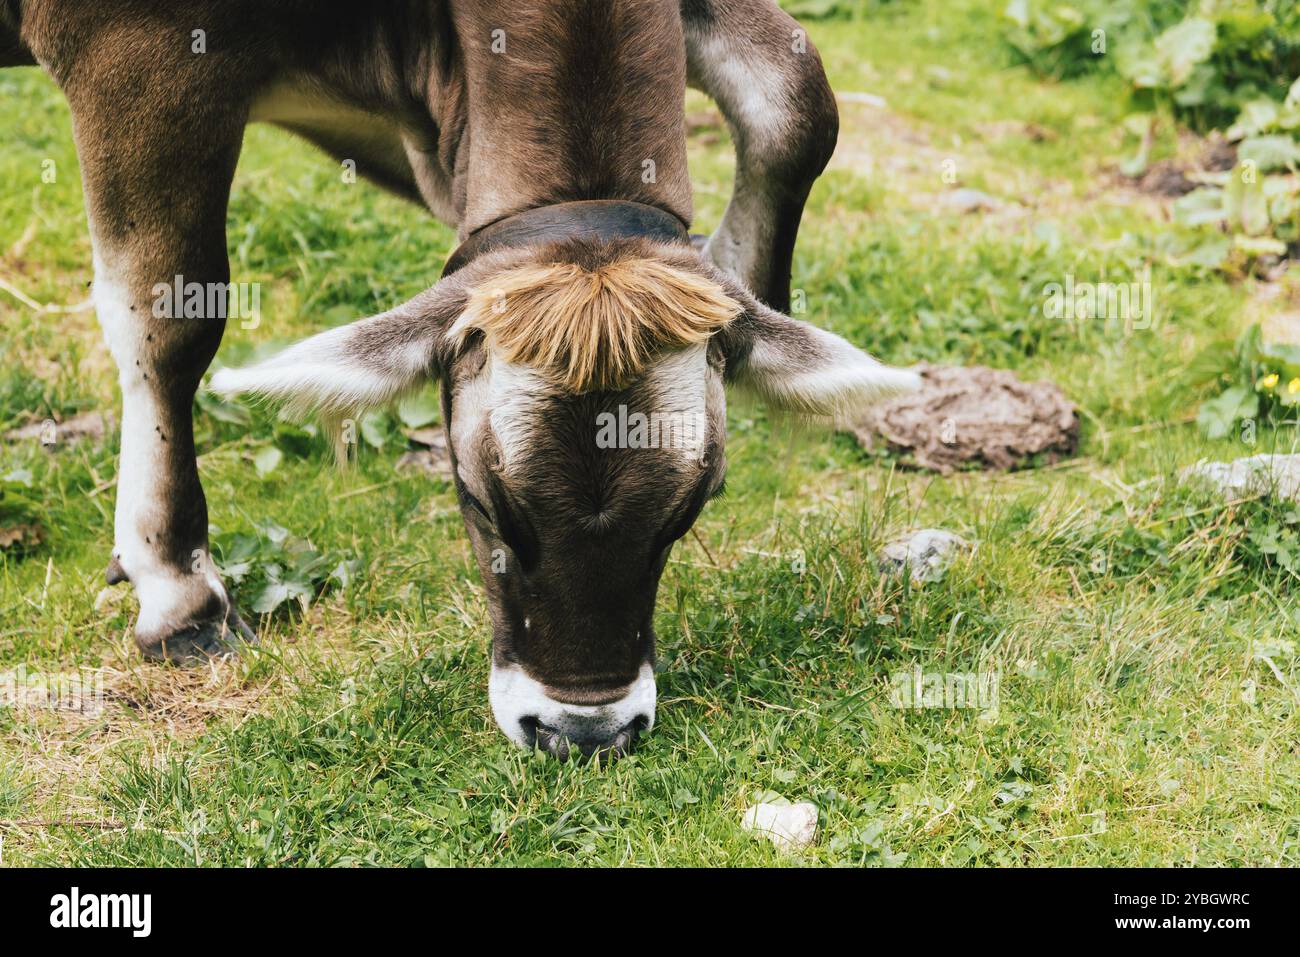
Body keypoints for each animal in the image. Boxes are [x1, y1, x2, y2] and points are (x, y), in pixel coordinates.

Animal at [1, 0, 919, 759]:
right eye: (481, 498)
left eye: (690, 507)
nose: (584, 732)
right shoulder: (141, 49)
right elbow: (172, 317)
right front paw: (176, 589)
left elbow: (797, 101)